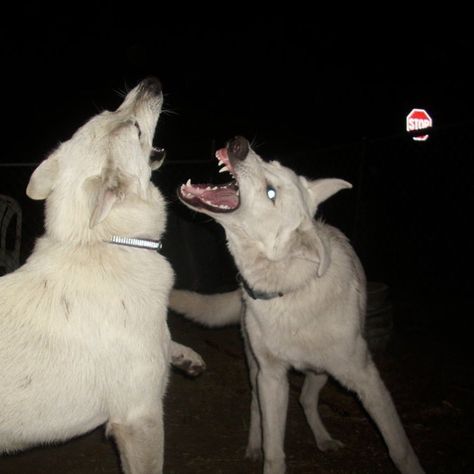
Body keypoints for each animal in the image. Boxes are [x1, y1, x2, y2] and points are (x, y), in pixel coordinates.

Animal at [0, 78, 204, 474]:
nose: (151, 83)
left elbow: (168, 340)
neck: (104, 242)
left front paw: (184, 355)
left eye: (111, 110)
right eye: (136, 129)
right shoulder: (140, 419)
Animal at [168, 135, 424, 472]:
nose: (239, 144)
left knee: (306, 399)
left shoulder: (366, 378)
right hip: (256, 368)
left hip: (322, 372)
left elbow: (400, 447)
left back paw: (323, 439)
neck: (287, 289)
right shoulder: (272, 378)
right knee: (257, 406)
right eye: (270, 163)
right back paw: (254, 445)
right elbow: (274, 451)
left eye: (271, 193)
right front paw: (265, 453)